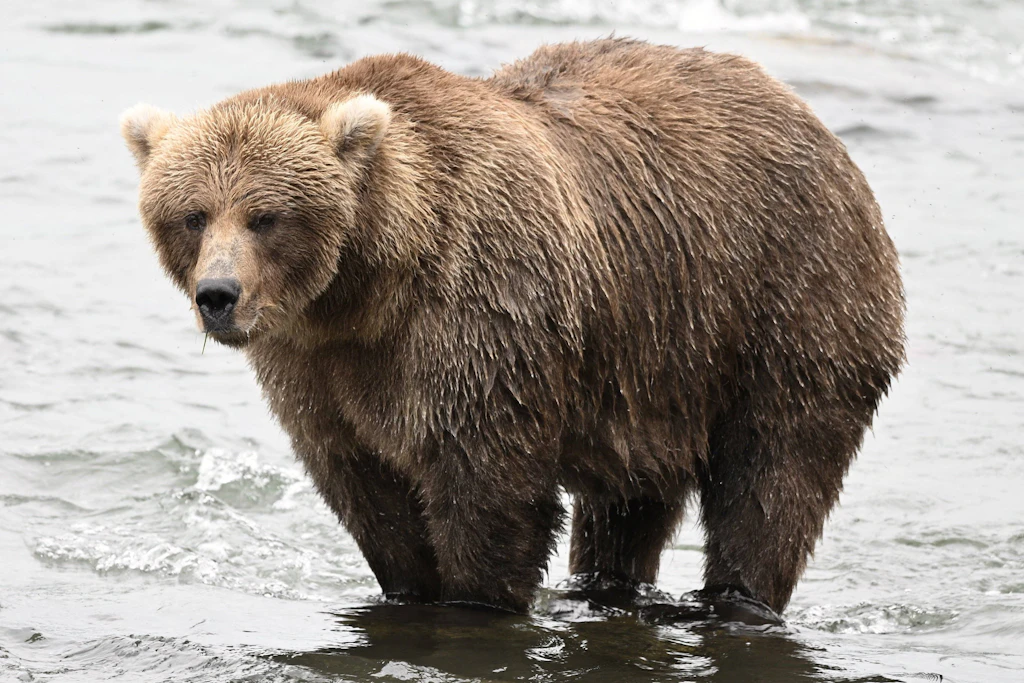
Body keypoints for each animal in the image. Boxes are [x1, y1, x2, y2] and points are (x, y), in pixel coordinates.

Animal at [120, 38, 905, 615]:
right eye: (193, 214)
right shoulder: (317, 364)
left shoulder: (479, 314)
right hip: (655, 359)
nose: (218, 295)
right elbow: (366, 487)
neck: (368, 287)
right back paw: (605, 589)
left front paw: (474, 600)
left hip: (786, 300)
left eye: (265, 215)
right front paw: (407, 587)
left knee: (774, 474)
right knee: (628, 500)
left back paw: (736, 599)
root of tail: (814, 121)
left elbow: (489, 489)